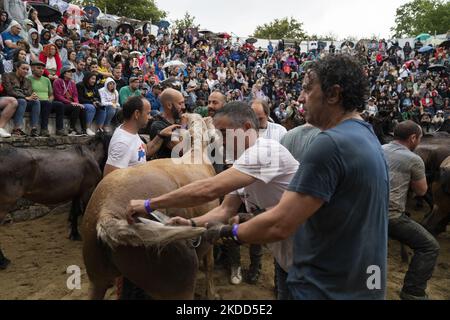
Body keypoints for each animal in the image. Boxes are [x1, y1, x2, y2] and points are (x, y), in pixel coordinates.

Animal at [0, 135, 109, 270]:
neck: (90, 154)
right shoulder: (87, 191)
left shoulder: (77, 193)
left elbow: (75, 212)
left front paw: (74, 235)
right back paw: (3, 261)